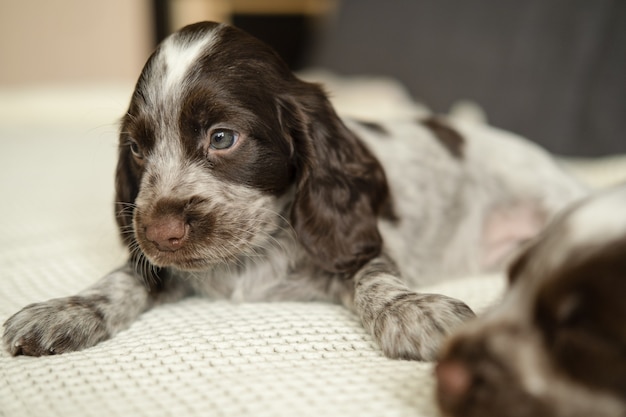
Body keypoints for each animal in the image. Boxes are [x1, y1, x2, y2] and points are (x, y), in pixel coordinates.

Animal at [2, 22, 584, 360]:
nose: (159, 232)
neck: (250, 257)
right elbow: (127, 275)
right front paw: (66, 310)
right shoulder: (160, 264)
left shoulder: (357, 242)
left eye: (222, 138)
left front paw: (413, 312)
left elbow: (374, 276)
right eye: (138, 150)